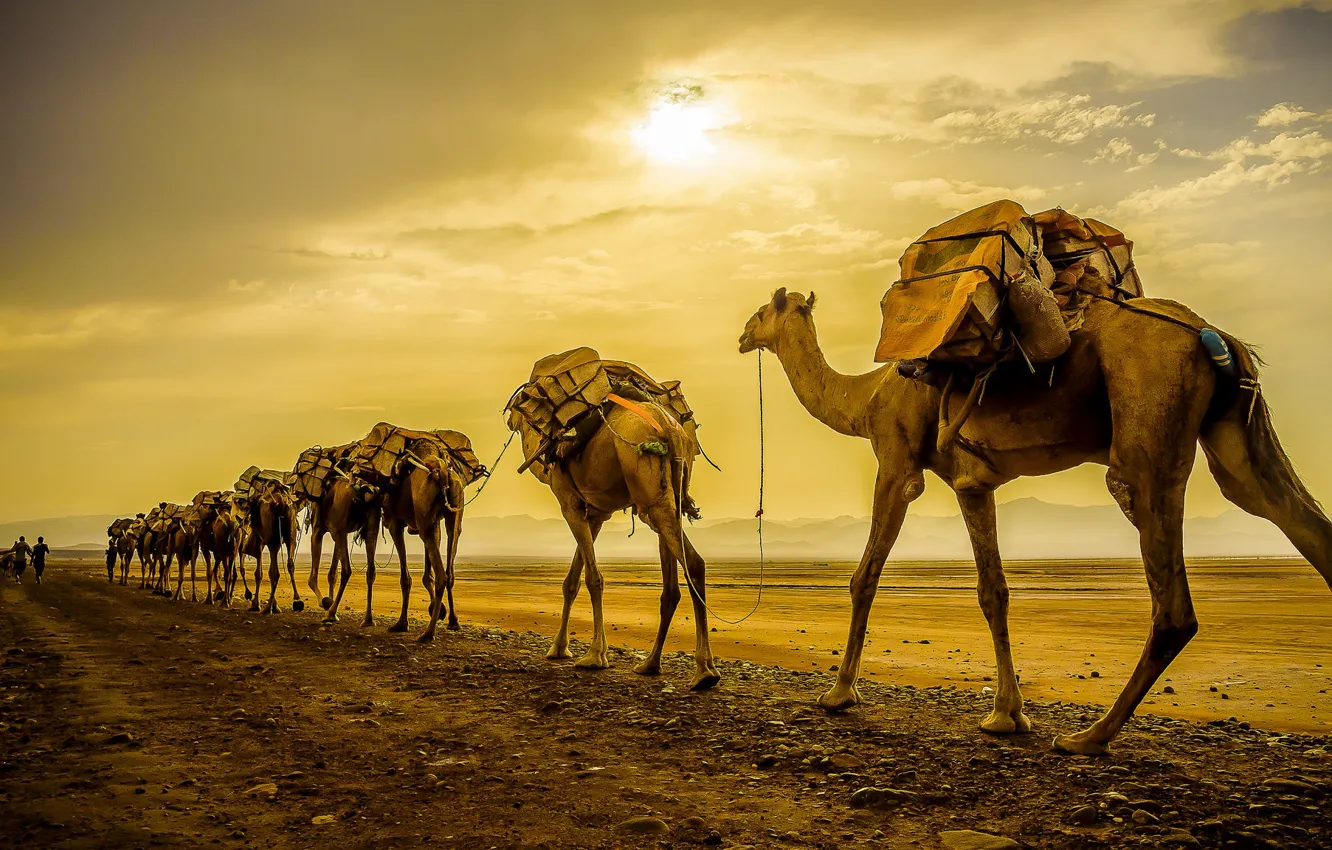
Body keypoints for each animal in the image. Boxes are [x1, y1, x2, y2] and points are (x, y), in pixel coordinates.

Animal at [515, 399, 720, 690]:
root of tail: (670, 429)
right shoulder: (596, 514)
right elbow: (571, 581)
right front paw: (558, 648)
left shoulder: (569, 504)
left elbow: (593, 578)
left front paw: (595, 655)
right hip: (671, 489)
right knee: (677, 578)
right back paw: (652, 664)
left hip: (648, 488)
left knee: (690, 561)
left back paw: (703, 671)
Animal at [739, 287, 1332, 754]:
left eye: (762, 311)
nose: (743, 335)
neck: (864, 398)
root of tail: (1215, 335)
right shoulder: (973, 484)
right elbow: (993, 591)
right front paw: (1007, 714)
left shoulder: (896, 459)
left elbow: (865, 578)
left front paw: (838, 694)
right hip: (1236, 435)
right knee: (1287, 513)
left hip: (1149, 421)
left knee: (1171, 601)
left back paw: (1090, 737)